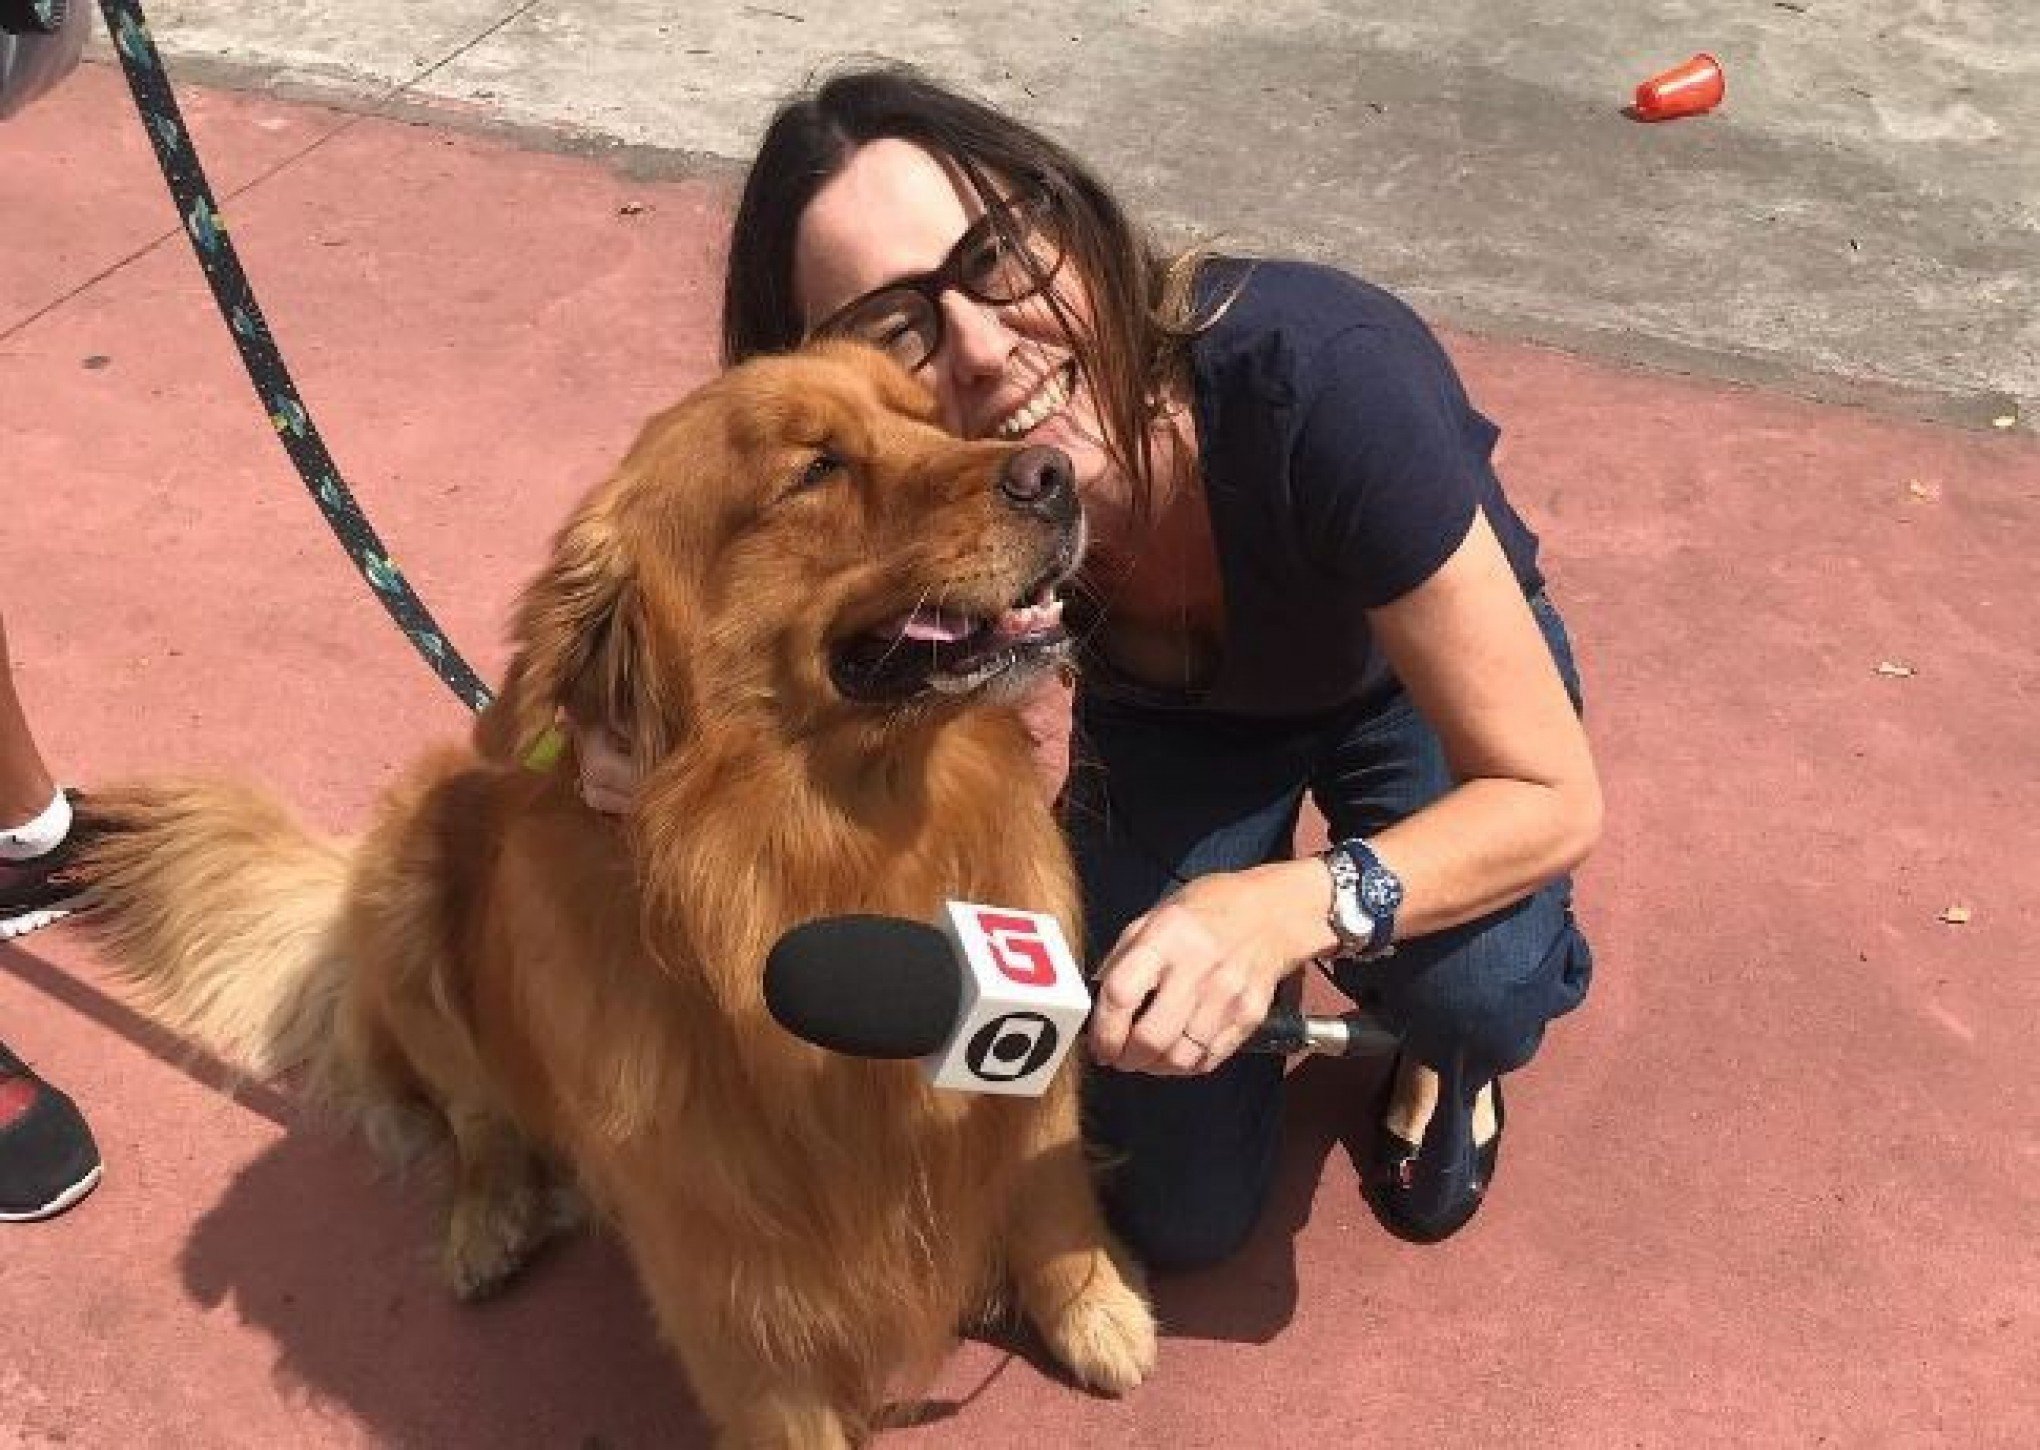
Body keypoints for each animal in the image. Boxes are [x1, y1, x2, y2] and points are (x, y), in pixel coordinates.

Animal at [79, 342, 1158, 1450]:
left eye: (931, 416)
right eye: (815, 470)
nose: (1054, 474)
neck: (829, 862)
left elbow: (1050, 1184)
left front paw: (1095, 1305)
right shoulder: (737, 1294)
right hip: (408, 897)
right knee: (476, 1111)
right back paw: (488, 1219)